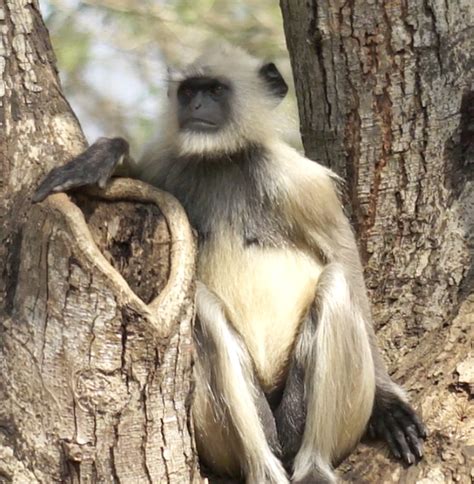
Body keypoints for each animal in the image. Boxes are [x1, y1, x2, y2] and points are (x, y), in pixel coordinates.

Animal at [33, 46, 426, 484]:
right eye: (189, 91)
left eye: (216, 90)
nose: (196, 106)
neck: (221, 158)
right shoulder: (166, 168)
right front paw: (104, 156)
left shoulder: (300, 181)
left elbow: (345, 259)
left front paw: (388, 401)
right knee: (204, 309)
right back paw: (264, 470)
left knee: (336, 284)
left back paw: (314, 466)